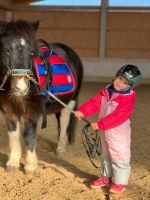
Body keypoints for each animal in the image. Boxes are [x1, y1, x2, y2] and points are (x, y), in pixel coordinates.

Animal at [0, 19, 83, 175]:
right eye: (7, 50)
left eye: (32, 52)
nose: (21, 87)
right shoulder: (8, 110)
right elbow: (13, 135)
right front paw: (12, 163)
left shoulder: (32, 111)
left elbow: (28, 135)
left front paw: (30, 167)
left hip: (70, 102)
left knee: (64, 121)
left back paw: (60, 149)